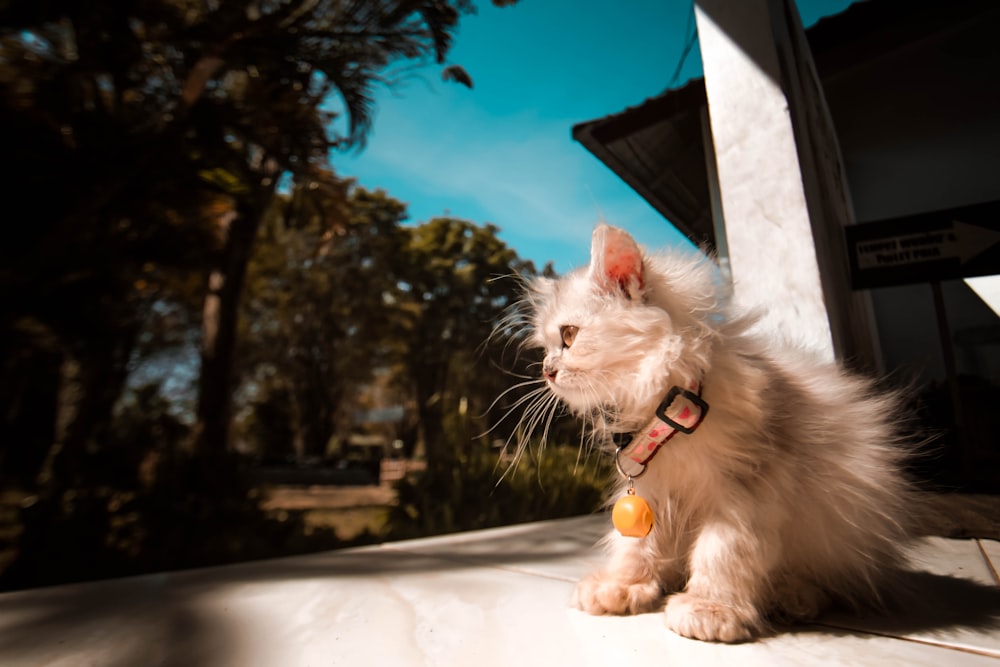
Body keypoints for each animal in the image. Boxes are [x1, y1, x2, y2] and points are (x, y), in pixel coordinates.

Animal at [520, 224, 916, 640]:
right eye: (545, 348)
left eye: (569, 335)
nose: (547, 371)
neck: (667, 407)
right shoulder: (651, 489)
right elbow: (635, 547)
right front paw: (623, 587)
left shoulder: (743, 493)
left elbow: (720, 552)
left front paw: (709, 609)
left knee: (825, 581)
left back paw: (791, 597)